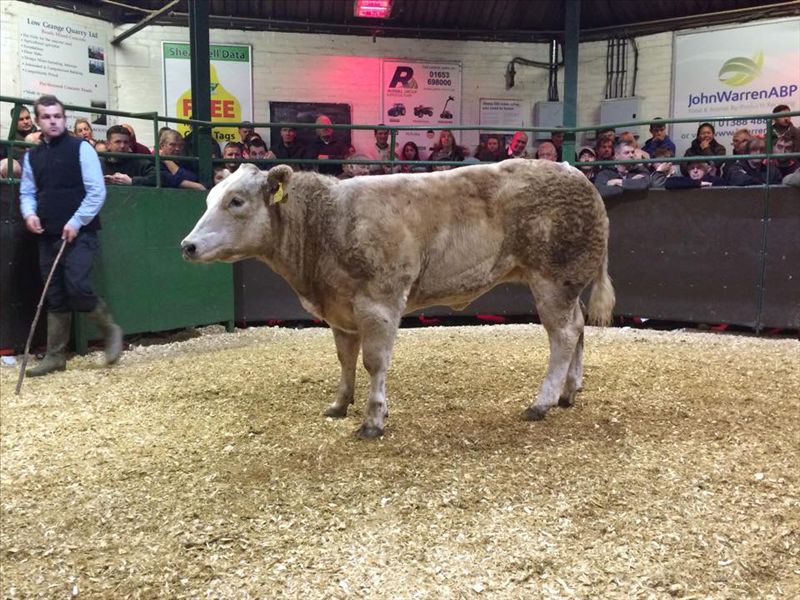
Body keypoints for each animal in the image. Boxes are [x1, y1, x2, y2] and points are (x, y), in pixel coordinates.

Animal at [181, 159, 616, 438]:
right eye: (209, 199)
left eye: (236, 200)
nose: (187, 245)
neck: (326, 222)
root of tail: (575, 172)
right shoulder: (340, 310)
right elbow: (345, 360)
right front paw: (339, 405)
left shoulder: (380, 302)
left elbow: (374, 362)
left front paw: (373, 420)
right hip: (566, 284)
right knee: (578, 328)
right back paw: (569, 392)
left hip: (552, 279)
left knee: (563, 334)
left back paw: (542, 402)